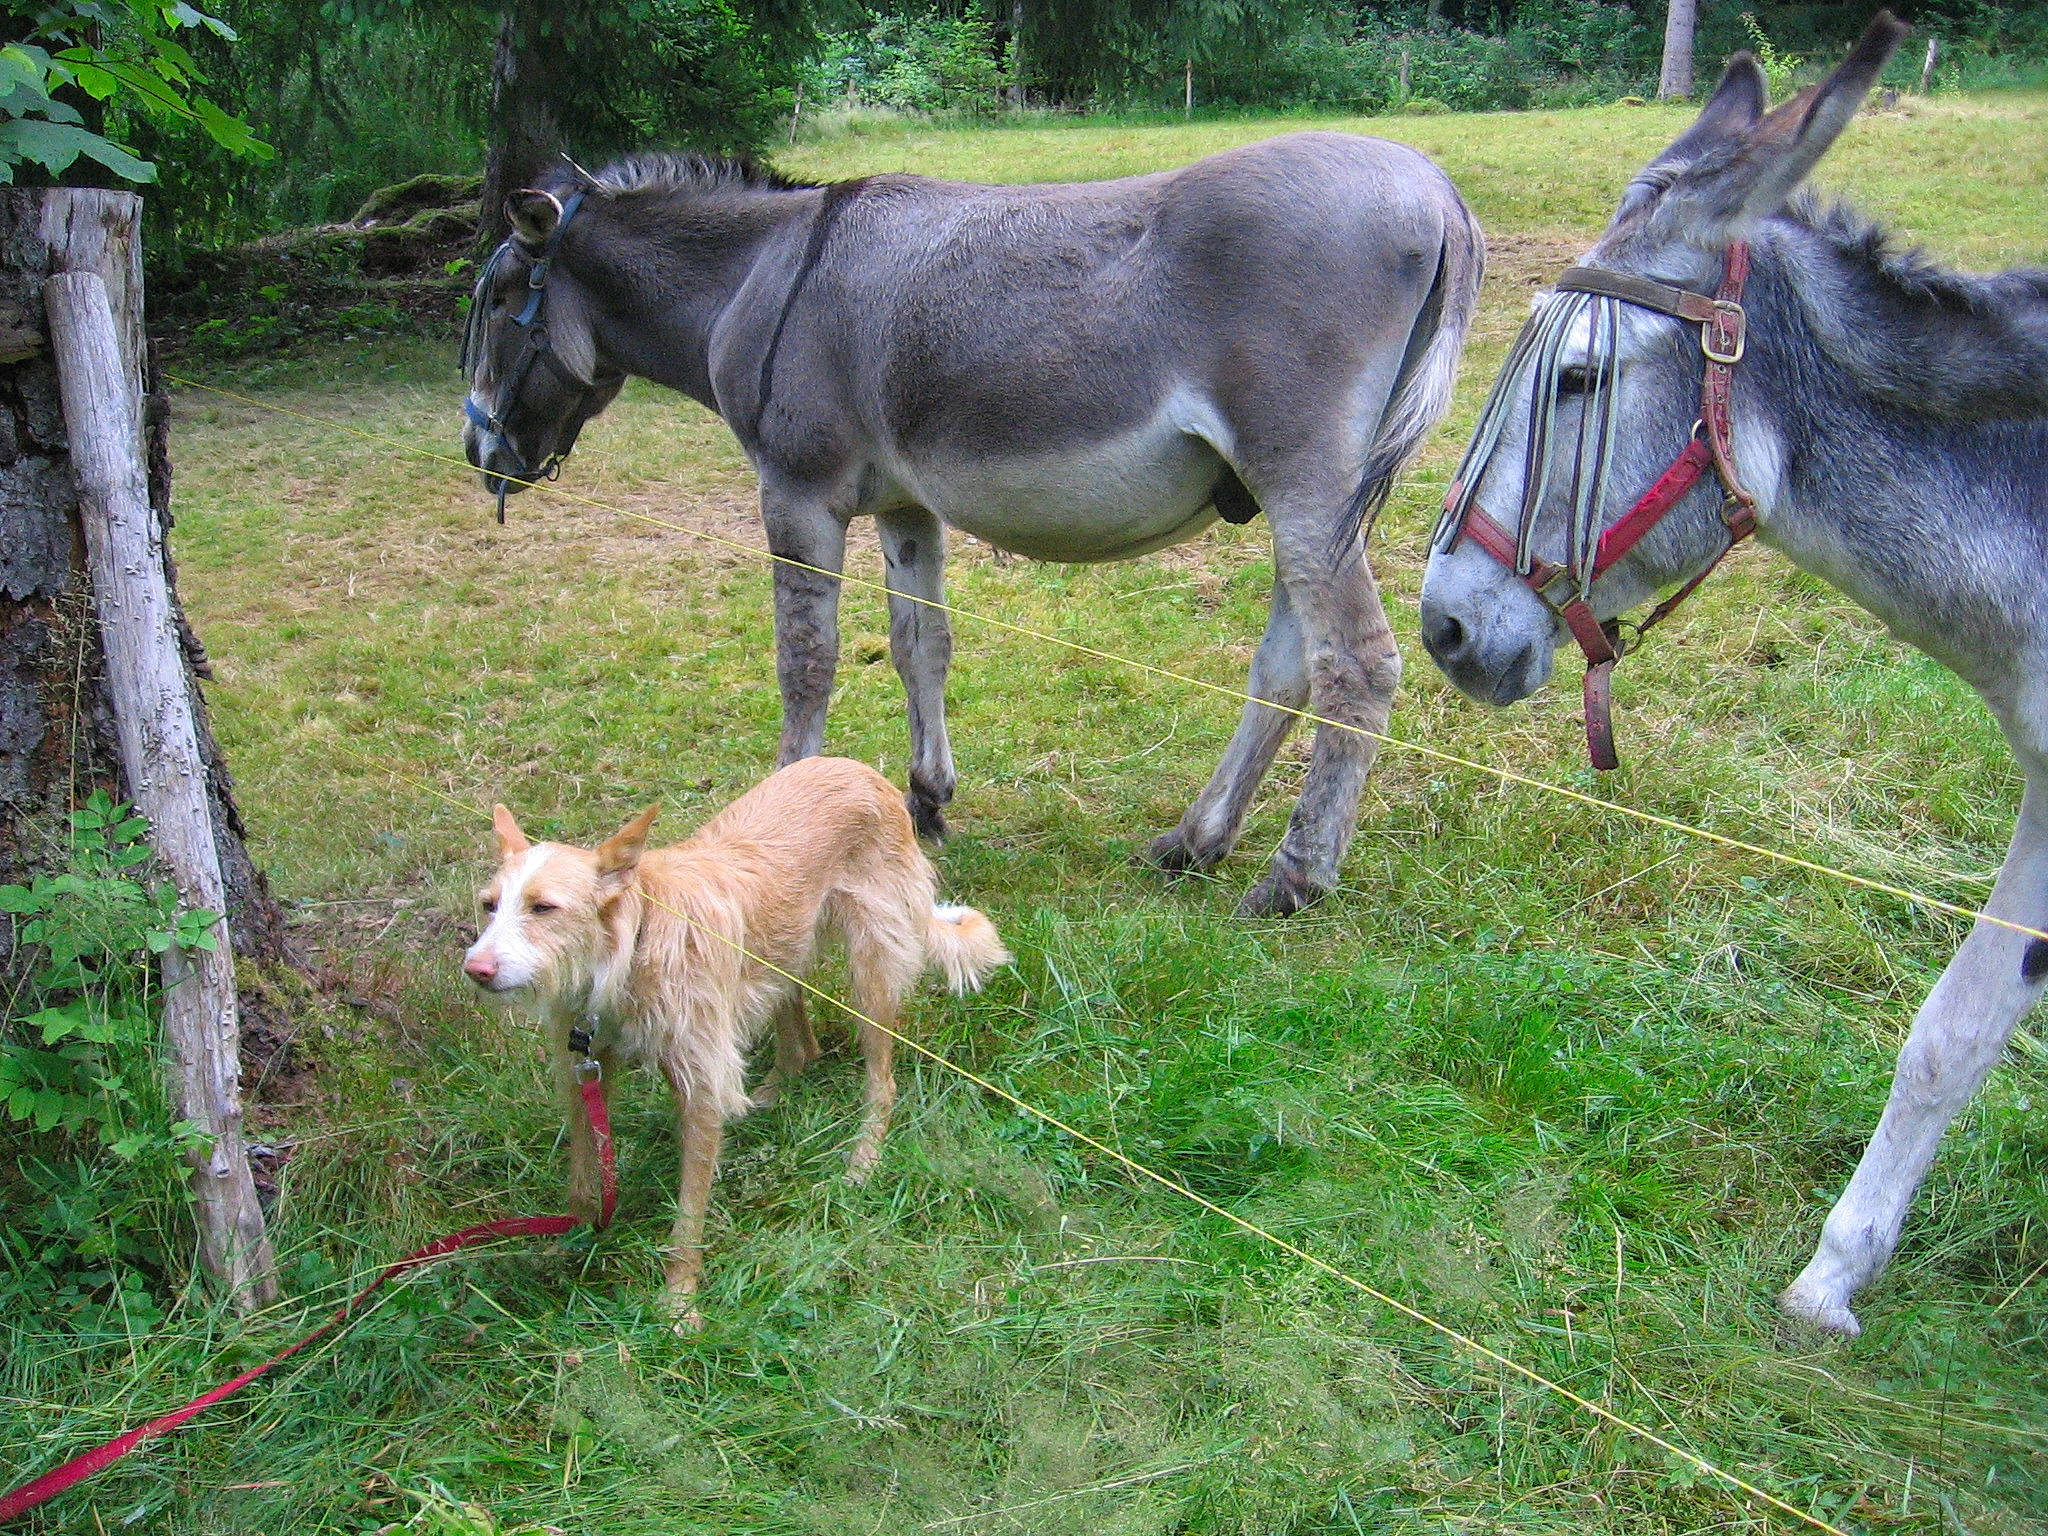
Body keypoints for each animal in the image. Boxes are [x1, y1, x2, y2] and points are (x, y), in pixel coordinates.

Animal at [460, 134, 1482, 914]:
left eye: (501, 296)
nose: (478, 453)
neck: (762, 276)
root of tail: (1435, 188)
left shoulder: (797, 491)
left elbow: (806, 659)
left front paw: (786, 810)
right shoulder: (906, 503)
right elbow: (923, 644)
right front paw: (926, 803)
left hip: (1304, 474)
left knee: (1357, 663)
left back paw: (1292, 880)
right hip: (1310, 497)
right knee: (1286, 664)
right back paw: (1195, 841)